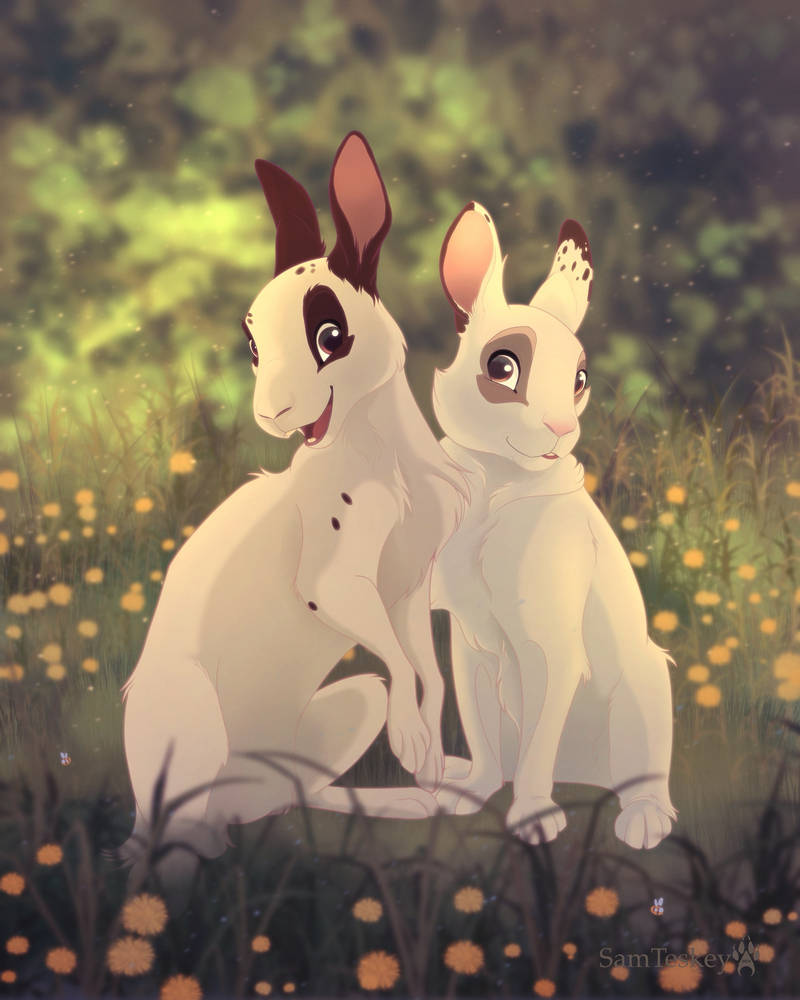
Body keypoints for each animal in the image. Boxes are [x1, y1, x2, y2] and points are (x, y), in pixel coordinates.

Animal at [120, 133, 465, 889]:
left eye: (331, 335)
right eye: (251, 344)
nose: (270, 415)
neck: (382, 455)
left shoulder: (408, 588)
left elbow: (425, 669)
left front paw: (425, 755)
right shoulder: (336, 584)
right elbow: (401, 659)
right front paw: (414, 744)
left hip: (346, 708)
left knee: (283, 797)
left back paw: (427, 796)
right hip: (188, 721)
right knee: (183, 831)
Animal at [430, 202, 677, 849]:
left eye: (580, 381)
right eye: (502, 368)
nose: (562, 429)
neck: (498, 486)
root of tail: (585, 774)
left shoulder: (551, 649)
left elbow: (538, 744)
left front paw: (535, 822)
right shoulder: (470, 644)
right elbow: (480, 726)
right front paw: (468, 798)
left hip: (643, 687)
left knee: (641, 774)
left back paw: (643, 823)